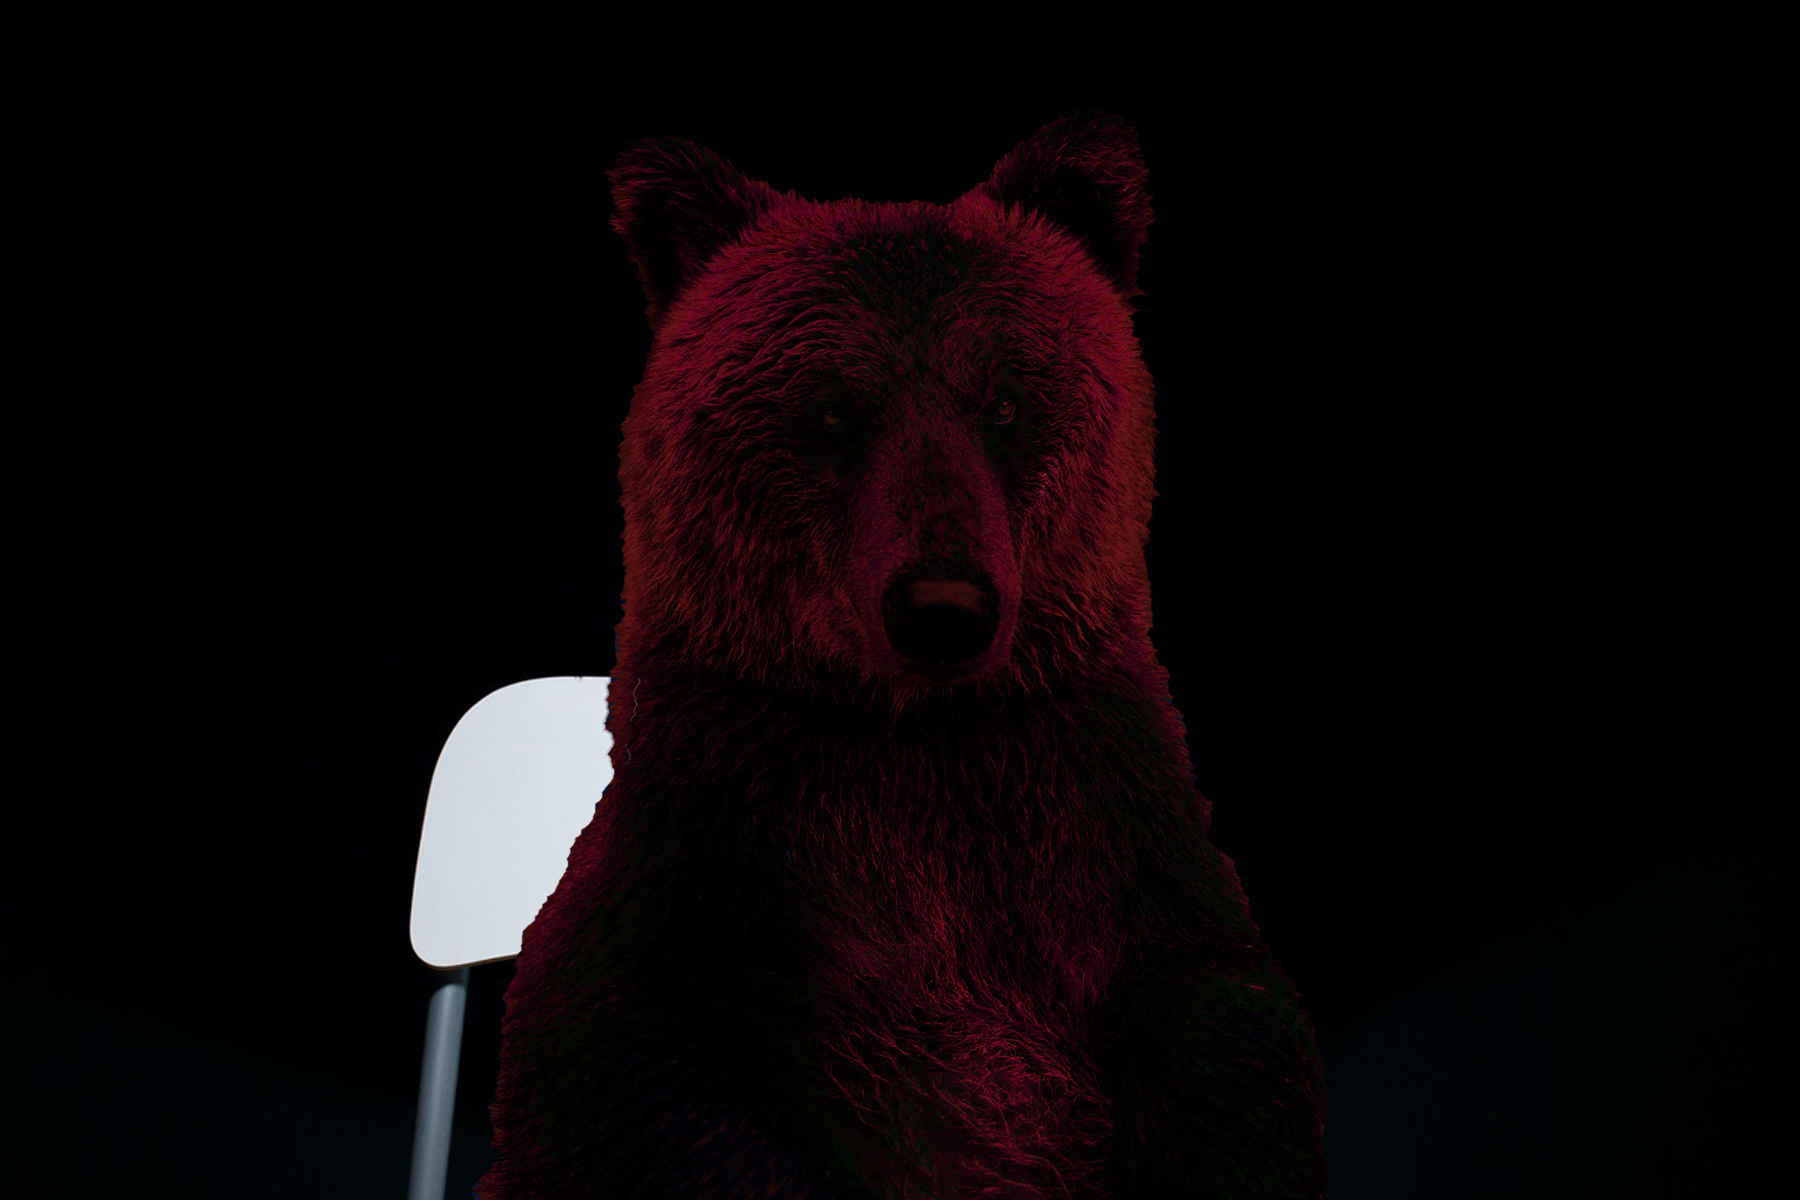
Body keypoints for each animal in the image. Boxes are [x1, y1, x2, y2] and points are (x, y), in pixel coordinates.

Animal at [477, 112, 1327, 1199]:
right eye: (835, 410)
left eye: (1004, 404)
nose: (943, 609)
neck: (919, 736)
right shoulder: (714, 856)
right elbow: (639, 1066)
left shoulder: (1098, 820)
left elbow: (1224, 1013)